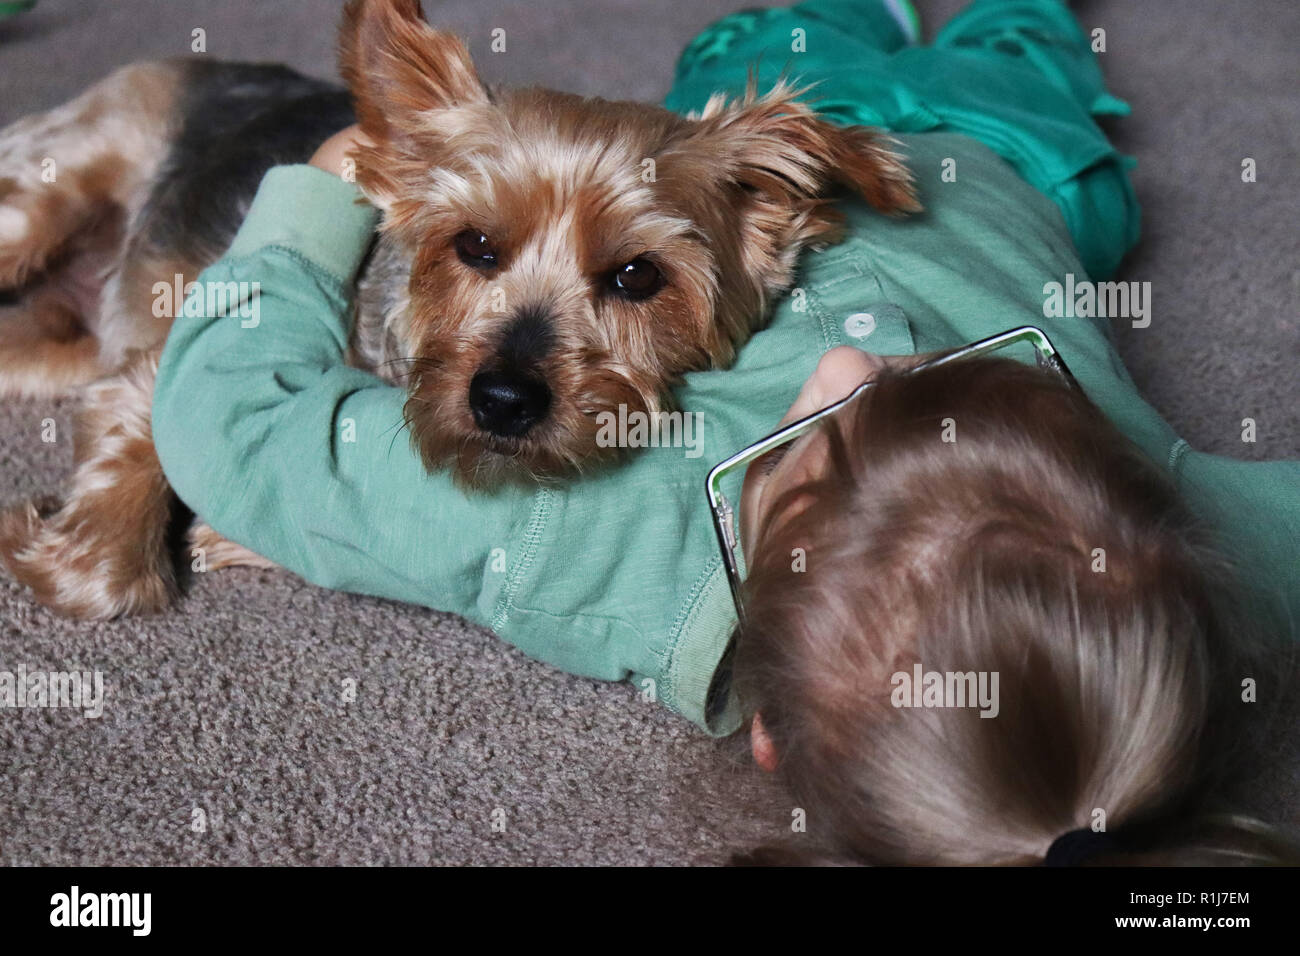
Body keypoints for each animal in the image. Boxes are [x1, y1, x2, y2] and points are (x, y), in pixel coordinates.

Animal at [0, 0, 915, 621]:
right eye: (474, 245)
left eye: (637, 276)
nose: (503, 401)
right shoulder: (158, 362)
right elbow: (113, 563)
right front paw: (49, 541)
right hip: (56, 181)